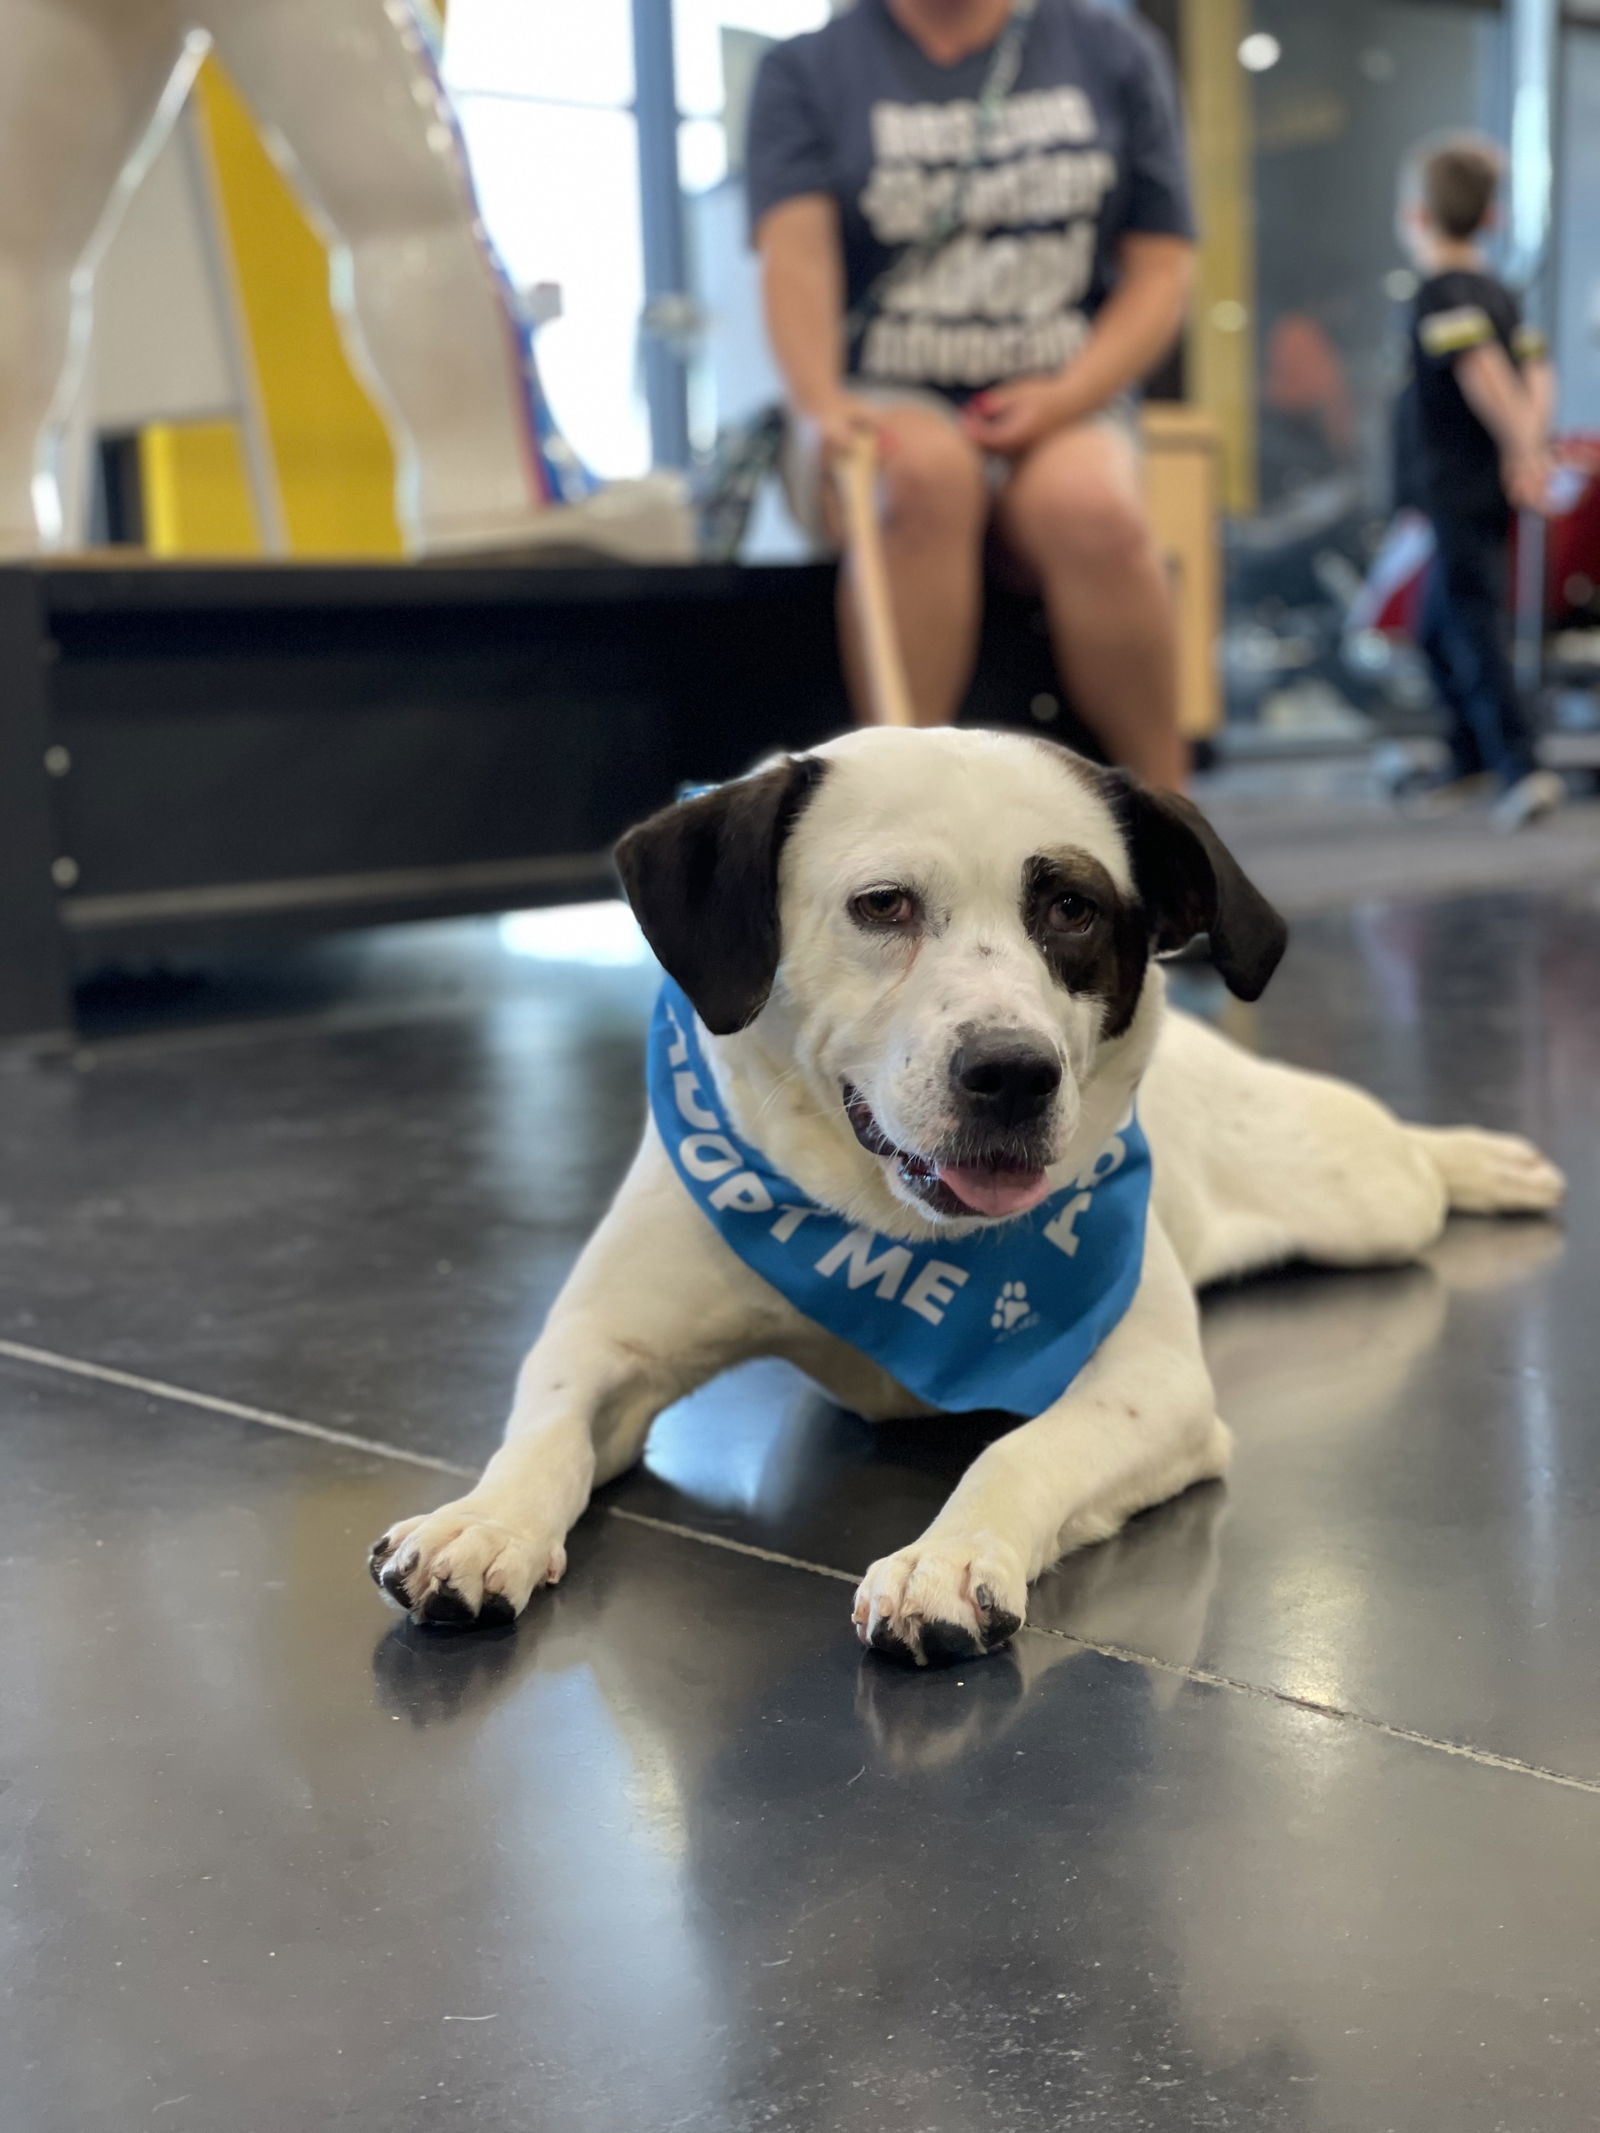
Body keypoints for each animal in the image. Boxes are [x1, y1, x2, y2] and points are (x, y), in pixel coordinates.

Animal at [373, 733, 1570, 1663]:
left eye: (1074, 907)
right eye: (882, 905)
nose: (1013, 1071)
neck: (886, 1232)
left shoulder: (1151, 1386)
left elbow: (1017, 1450)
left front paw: (945, 1557)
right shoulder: (599, 1344)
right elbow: (546, 1433)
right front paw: (482, 1520)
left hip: (1359, 1195)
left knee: (1407, 1162)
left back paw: (1481, 1161)